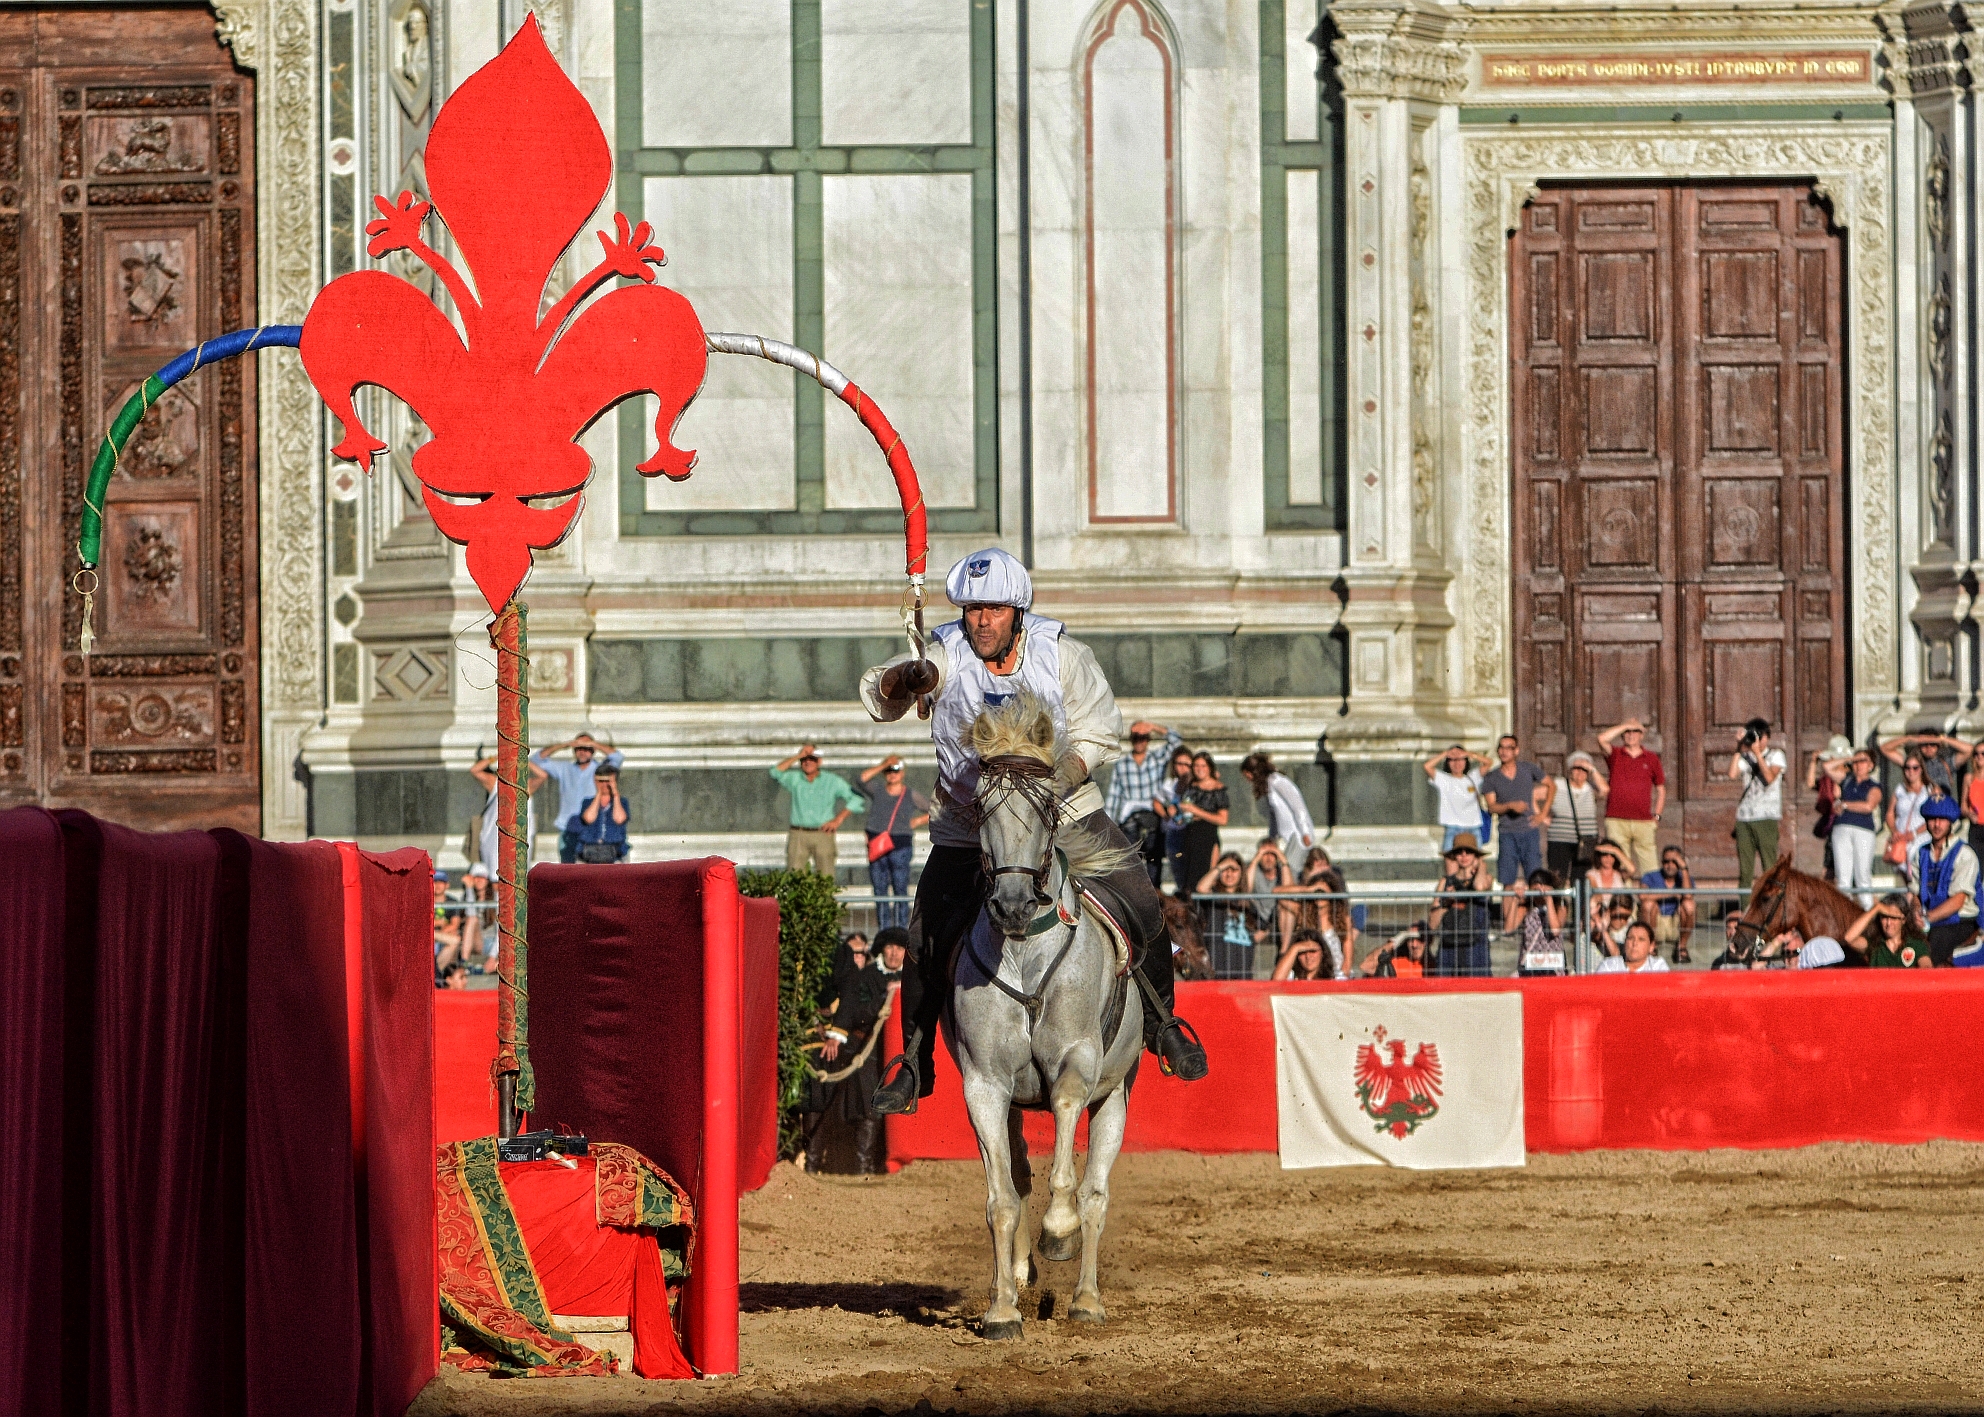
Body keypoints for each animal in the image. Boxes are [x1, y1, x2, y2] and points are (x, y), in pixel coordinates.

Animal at [948, 694, 1150, 1333]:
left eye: (1045, 809)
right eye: (981, 807)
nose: (1012, 905)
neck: (1025, 953)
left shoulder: (1078, 1063)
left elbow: (1066, 1143)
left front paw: (1057, 1231)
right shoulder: (984, 1084)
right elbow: (1001, 1200)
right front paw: (1002, 1308)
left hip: (1117, 1096)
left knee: (1096, 1195)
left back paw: (1086, 1298)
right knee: (1016, 1177)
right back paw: (1020, 1278)